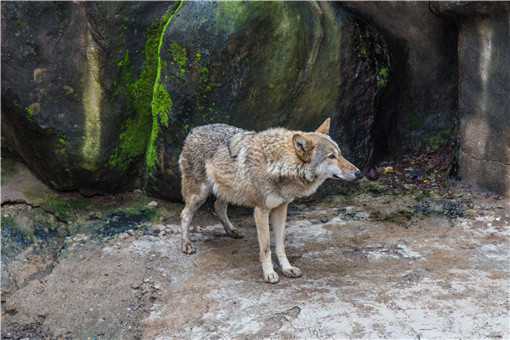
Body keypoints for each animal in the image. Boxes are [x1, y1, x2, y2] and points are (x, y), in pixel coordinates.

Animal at [179, 118, 362, 282]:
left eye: (340, 154)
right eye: (331, 156)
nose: (359, 173)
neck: (278, 165)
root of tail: (194, 130)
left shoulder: (281, 209)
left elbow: (280, 245)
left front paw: (287, 269)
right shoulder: (261, 211)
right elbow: (266, 247)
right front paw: (269, 273)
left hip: (229, 192)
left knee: (218, 207)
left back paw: (232, 231)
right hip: (199, 195)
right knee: (185, 215)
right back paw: (186, 245)